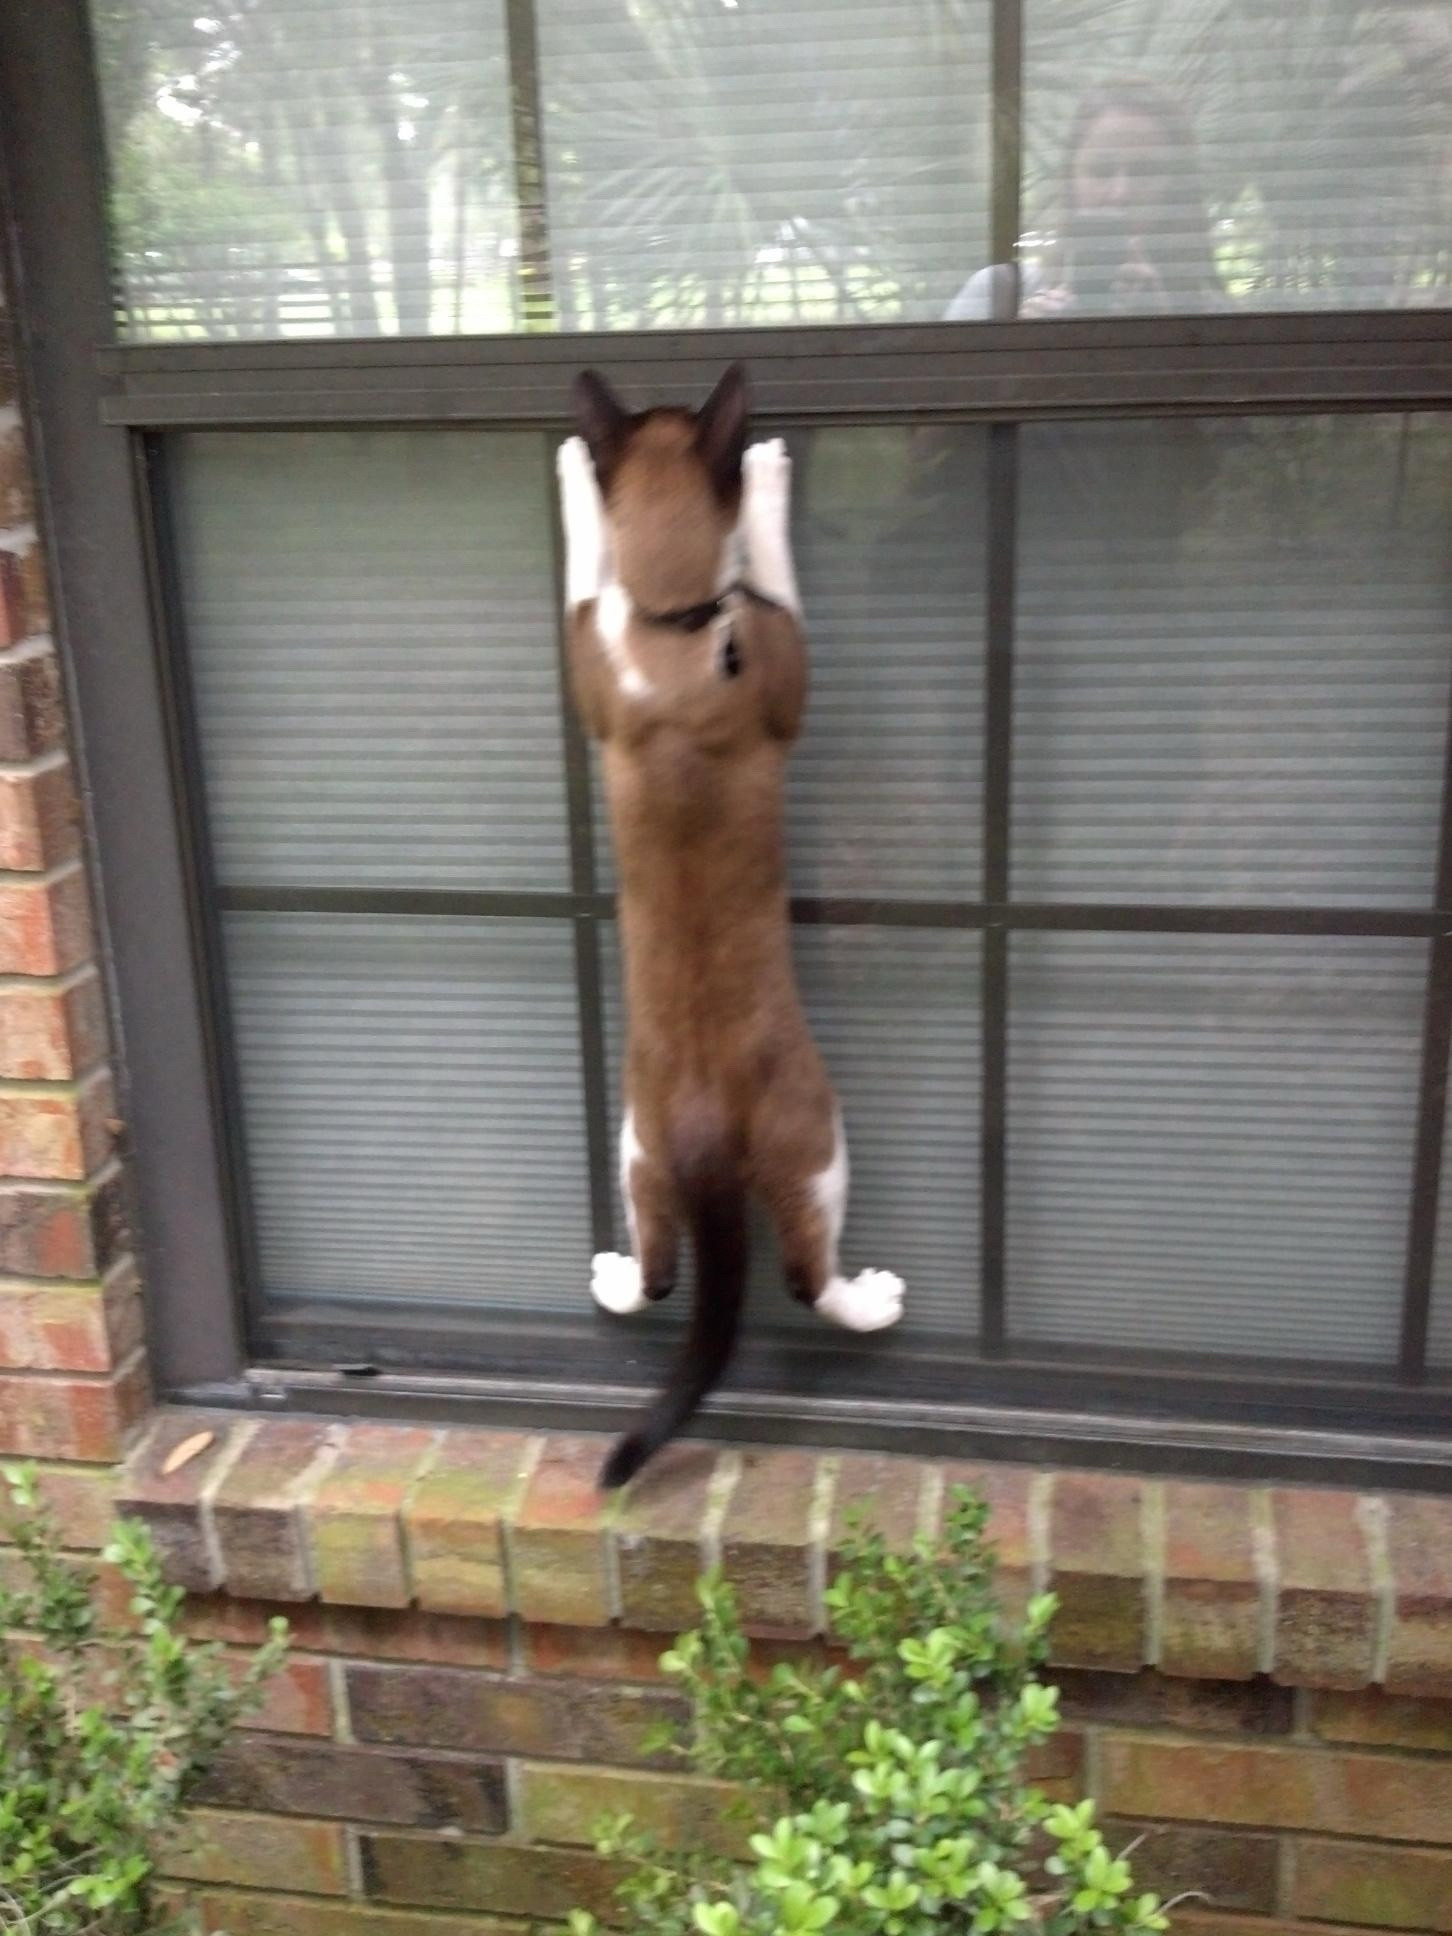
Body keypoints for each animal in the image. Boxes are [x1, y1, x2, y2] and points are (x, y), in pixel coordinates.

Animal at [561, 360, 909, 1479]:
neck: (673, 623)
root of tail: (709, 1133)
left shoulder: (590, 658)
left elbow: (589, 570)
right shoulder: (786, 651)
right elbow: (769, 567)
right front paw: (762, 474)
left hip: (635, 1148)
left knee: (662, 1274)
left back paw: (612, 1277)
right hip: (822, 1142)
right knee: (804, 1275)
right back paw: (872, 1302)